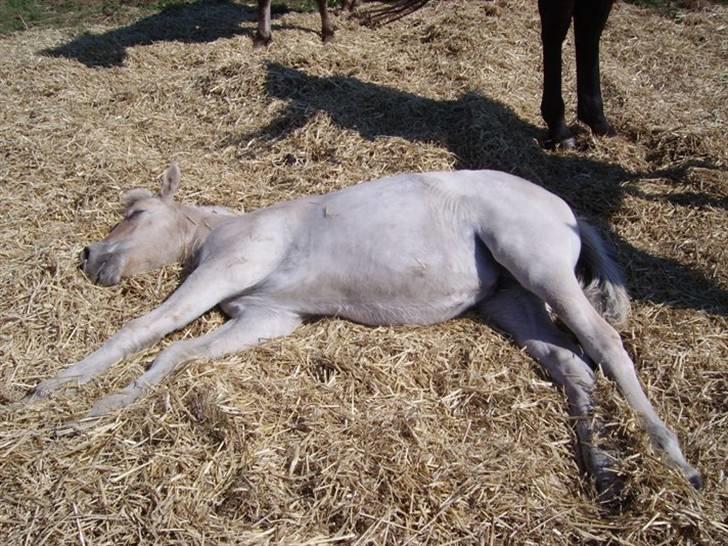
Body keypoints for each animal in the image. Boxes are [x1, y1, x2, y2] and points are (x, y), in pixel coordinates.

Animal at [27, 164, 700, 490]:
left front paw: (56, 395)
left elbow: (149, 329)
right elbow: (180, 355)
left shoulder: (222, 274)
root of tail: (568, 212)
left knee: (605, 344)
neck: (226, 229)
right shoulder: (266, 318)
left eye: (137, 213)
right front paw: (96, 408)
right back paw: (603, 471)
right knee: (572, 365)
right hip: (511, 301)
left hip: (541, 269)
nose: (89, 256)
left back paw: (675, 460)